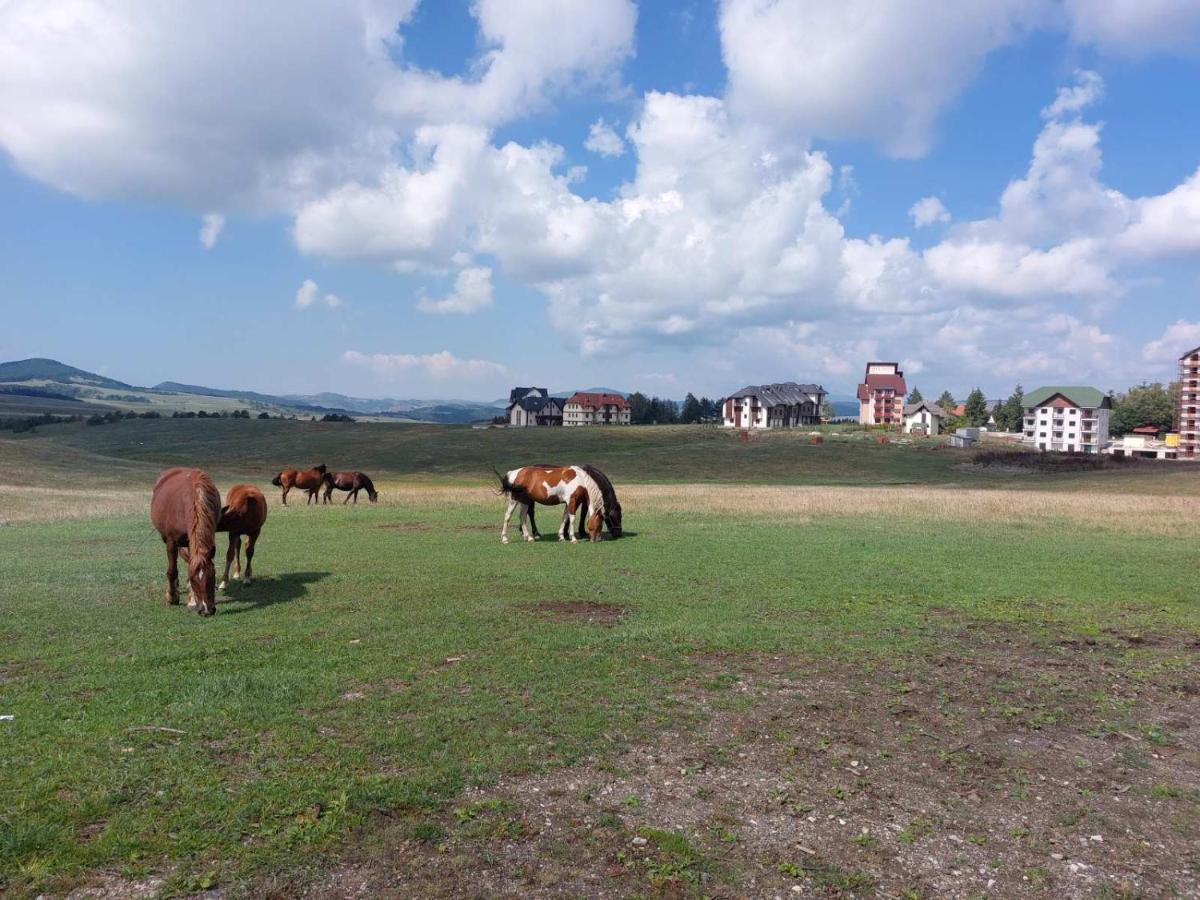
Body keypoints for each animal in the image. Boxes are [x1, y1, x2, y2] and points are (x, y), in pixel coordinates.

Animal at [149, 468, 220, 619]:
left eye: (212, 576)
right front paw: (172, 597)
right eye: (194, 579)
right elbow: (172, 571)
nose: (207, 610)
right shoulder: (171, 541)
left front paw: (192, 600)